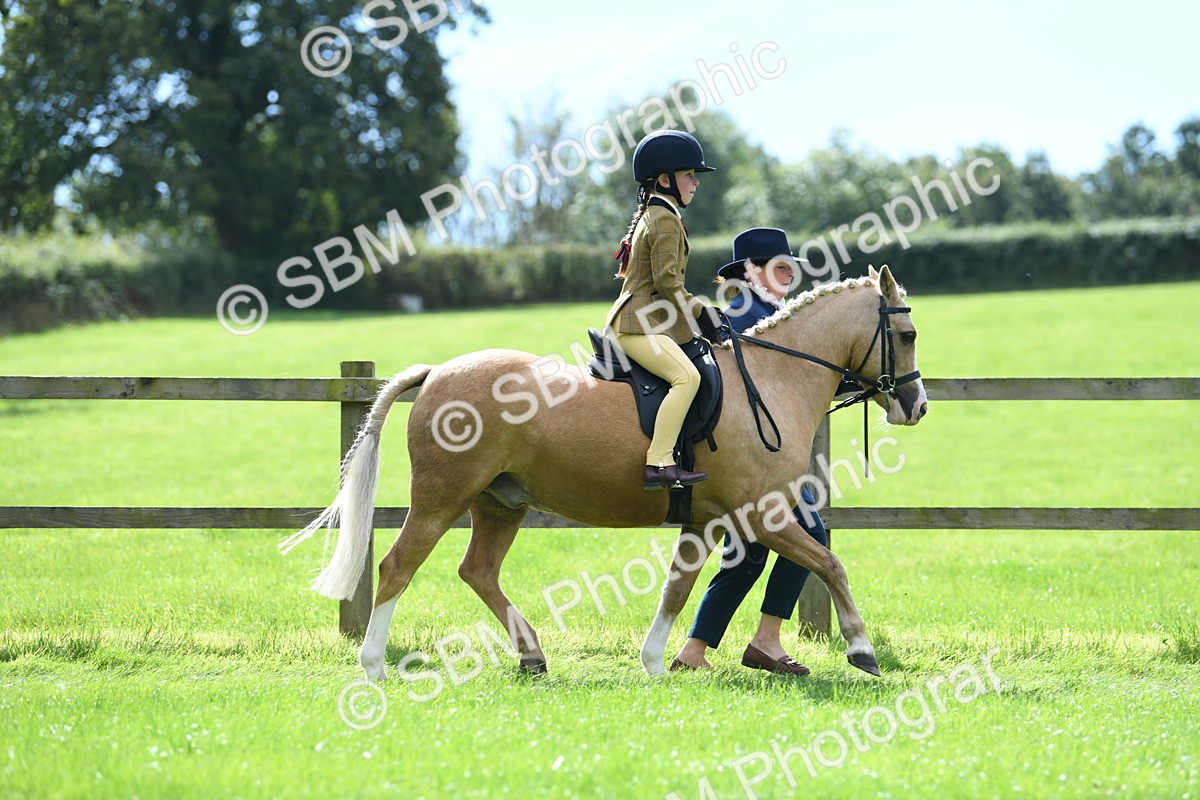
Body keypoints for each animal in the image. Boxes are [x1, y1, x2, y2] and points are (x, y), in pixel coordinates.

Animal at [281, 264, 928, 680]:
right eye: (907, 334)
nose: (916, 406)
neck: (768, 380)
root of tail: (438, 372)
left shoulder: (706, 522)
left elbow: (678, 587)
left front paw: (655, 663)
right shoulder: (763, 516)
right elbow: (829, 564)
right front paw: (862, 650)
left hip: (500, 503)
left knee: (478, 572)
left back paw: (532, 655)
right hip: (442, 498)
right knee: (396, 567)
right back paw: (372, 666)